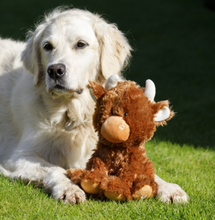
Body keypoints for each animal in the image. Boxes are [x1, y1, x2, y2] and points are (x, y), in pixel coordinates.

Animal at [0, 7, 188, 204]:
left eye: (81, 44)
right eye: (47, 46)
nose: (55, 70)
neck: (71, 112)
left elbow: (145, 170)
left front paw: (169, 188)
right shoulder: (18, 156)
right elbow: (55, 169)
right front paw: (69, 189)